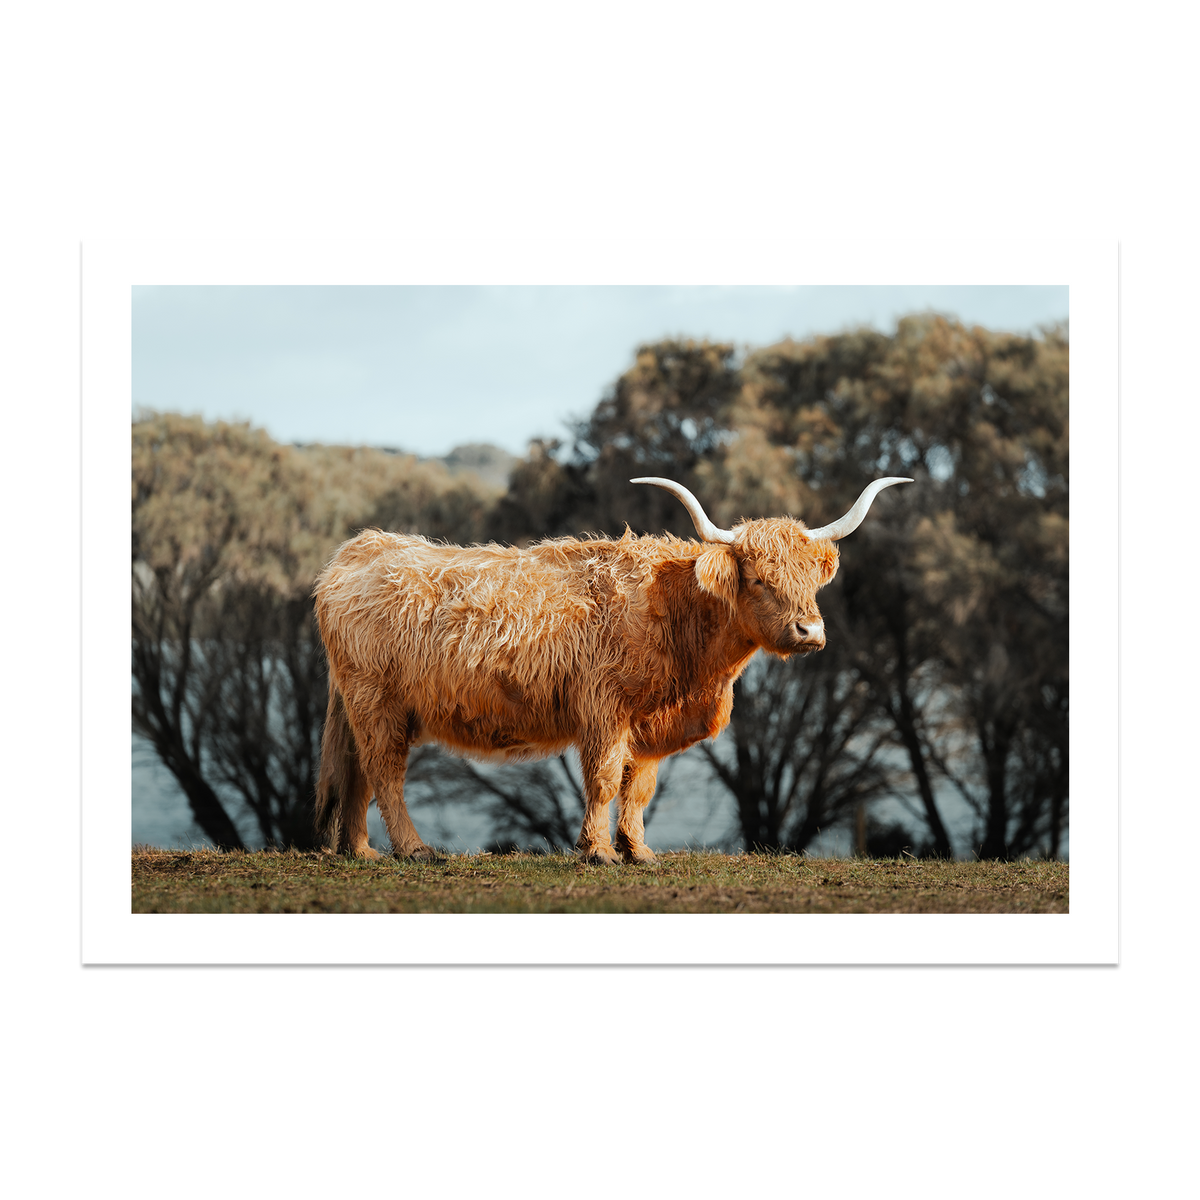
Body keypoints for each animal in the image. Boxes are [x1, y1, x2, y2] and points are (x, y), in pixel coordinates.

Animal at [313, 476, 911, 864]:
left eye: (811, 579)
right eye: (760, 579)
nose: (810, 632)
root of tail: (359, 548)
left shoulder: (647, 722)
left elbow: (638, 786)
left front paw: (638, 851)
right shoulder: (604, 708)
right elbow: (602, 780)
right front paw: (598, 851)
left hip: (364, 706)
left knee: (357, 773)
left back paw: (361, 852)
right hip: (377, 701)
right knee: (385, 772)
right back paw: (414, 850)